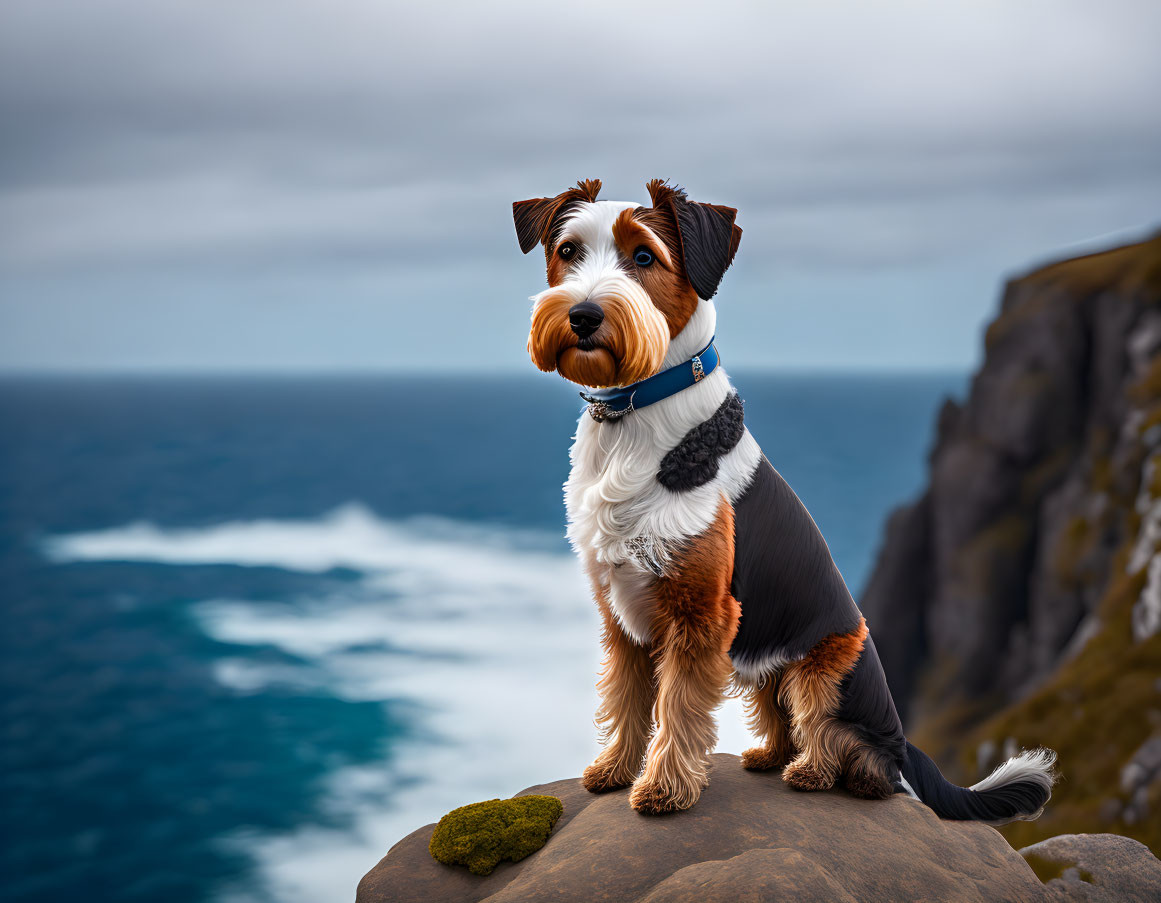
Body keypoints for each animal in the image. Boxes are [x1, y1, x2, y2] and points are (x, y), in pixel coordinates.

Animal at [513, 177, 1058, 817]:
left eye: (644, 256)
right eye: (568, 250)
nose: (583, 314)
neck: (635, 415)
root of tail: (903, 740)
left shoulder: (701, 613)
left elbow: (678, 706)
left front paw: (664, 788)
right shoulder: (622, 610)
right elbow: (627, 697)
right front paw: (614, 770)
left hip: (827, 664)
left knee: (845, 744)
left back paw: (816, 773)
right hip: (762, 663)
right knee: (781, 713)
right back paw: (770, 756)